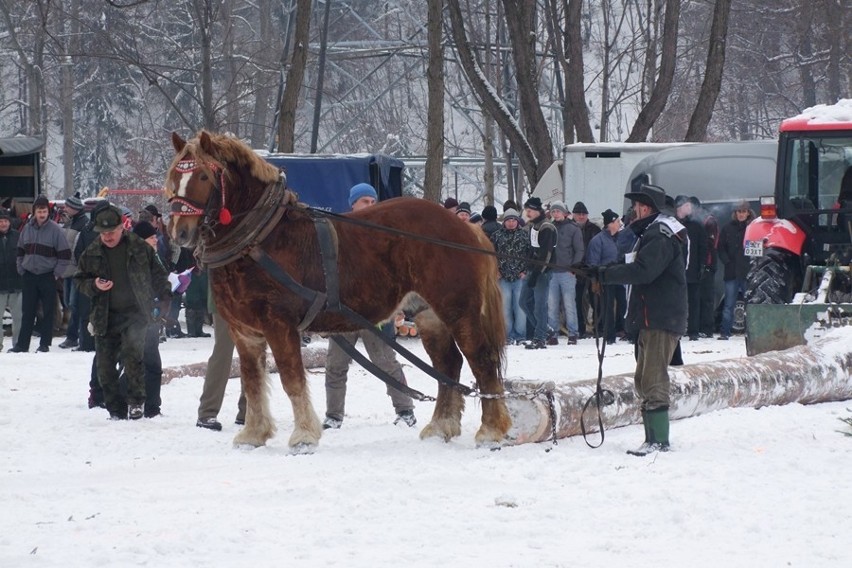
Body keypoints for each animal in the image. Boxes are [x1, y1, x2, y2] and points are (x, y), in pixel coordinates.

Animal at [166, 130, 512, 452]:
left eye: (202, 175)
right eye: (174, 177)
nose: (180, 233)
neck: (261, 239)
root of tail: (465, 227)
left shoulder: (279, 325)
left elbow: (292, 379)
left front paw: (304, 437)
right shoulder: (244, 332)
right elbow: (252, 382)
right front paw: (253, 434)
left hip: (459, 311)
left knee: (480, 360)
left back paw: (490, 431)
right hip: (429, 314)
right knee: (447, 363)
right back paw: (441, 427)